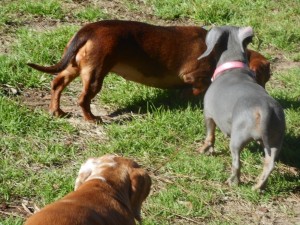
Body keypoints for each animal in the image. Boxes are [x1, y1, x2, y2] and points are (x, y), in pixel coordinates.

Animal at [28, 19, 270, 121]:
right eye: (265, 78)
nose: (264, 95)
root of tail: (89, 30)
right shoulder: (194, 75)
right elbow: (198, 87)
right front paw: (183, 96)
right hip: (95, 73)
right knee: (83, 99)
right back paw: (91, 118)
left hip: (75, 66)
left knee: (57, 83)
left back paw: (57, 111)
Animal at [198, 26, 284, 191]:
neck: (233, 68)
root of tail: (264, 108)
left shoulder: (208, 114)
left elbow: (210, 137)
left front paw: (204, 150)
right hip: (275, 140)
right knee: (270, 164)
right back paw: (258, 186)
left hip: (237, 140)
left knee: (237, 163)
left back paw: (233, 181)